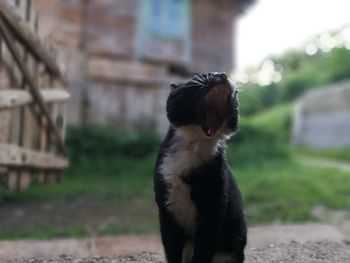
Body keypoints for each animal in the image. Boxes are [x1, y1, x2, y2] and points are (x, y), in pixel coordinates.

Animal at [153, 72, 246, 263]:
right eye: (203, 76)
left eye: (236, 95)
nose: (223, 74)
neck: (195, 144)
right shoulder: (166, 206)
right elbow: (171, 248)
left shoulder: (215, 205)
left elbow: (204, 248)